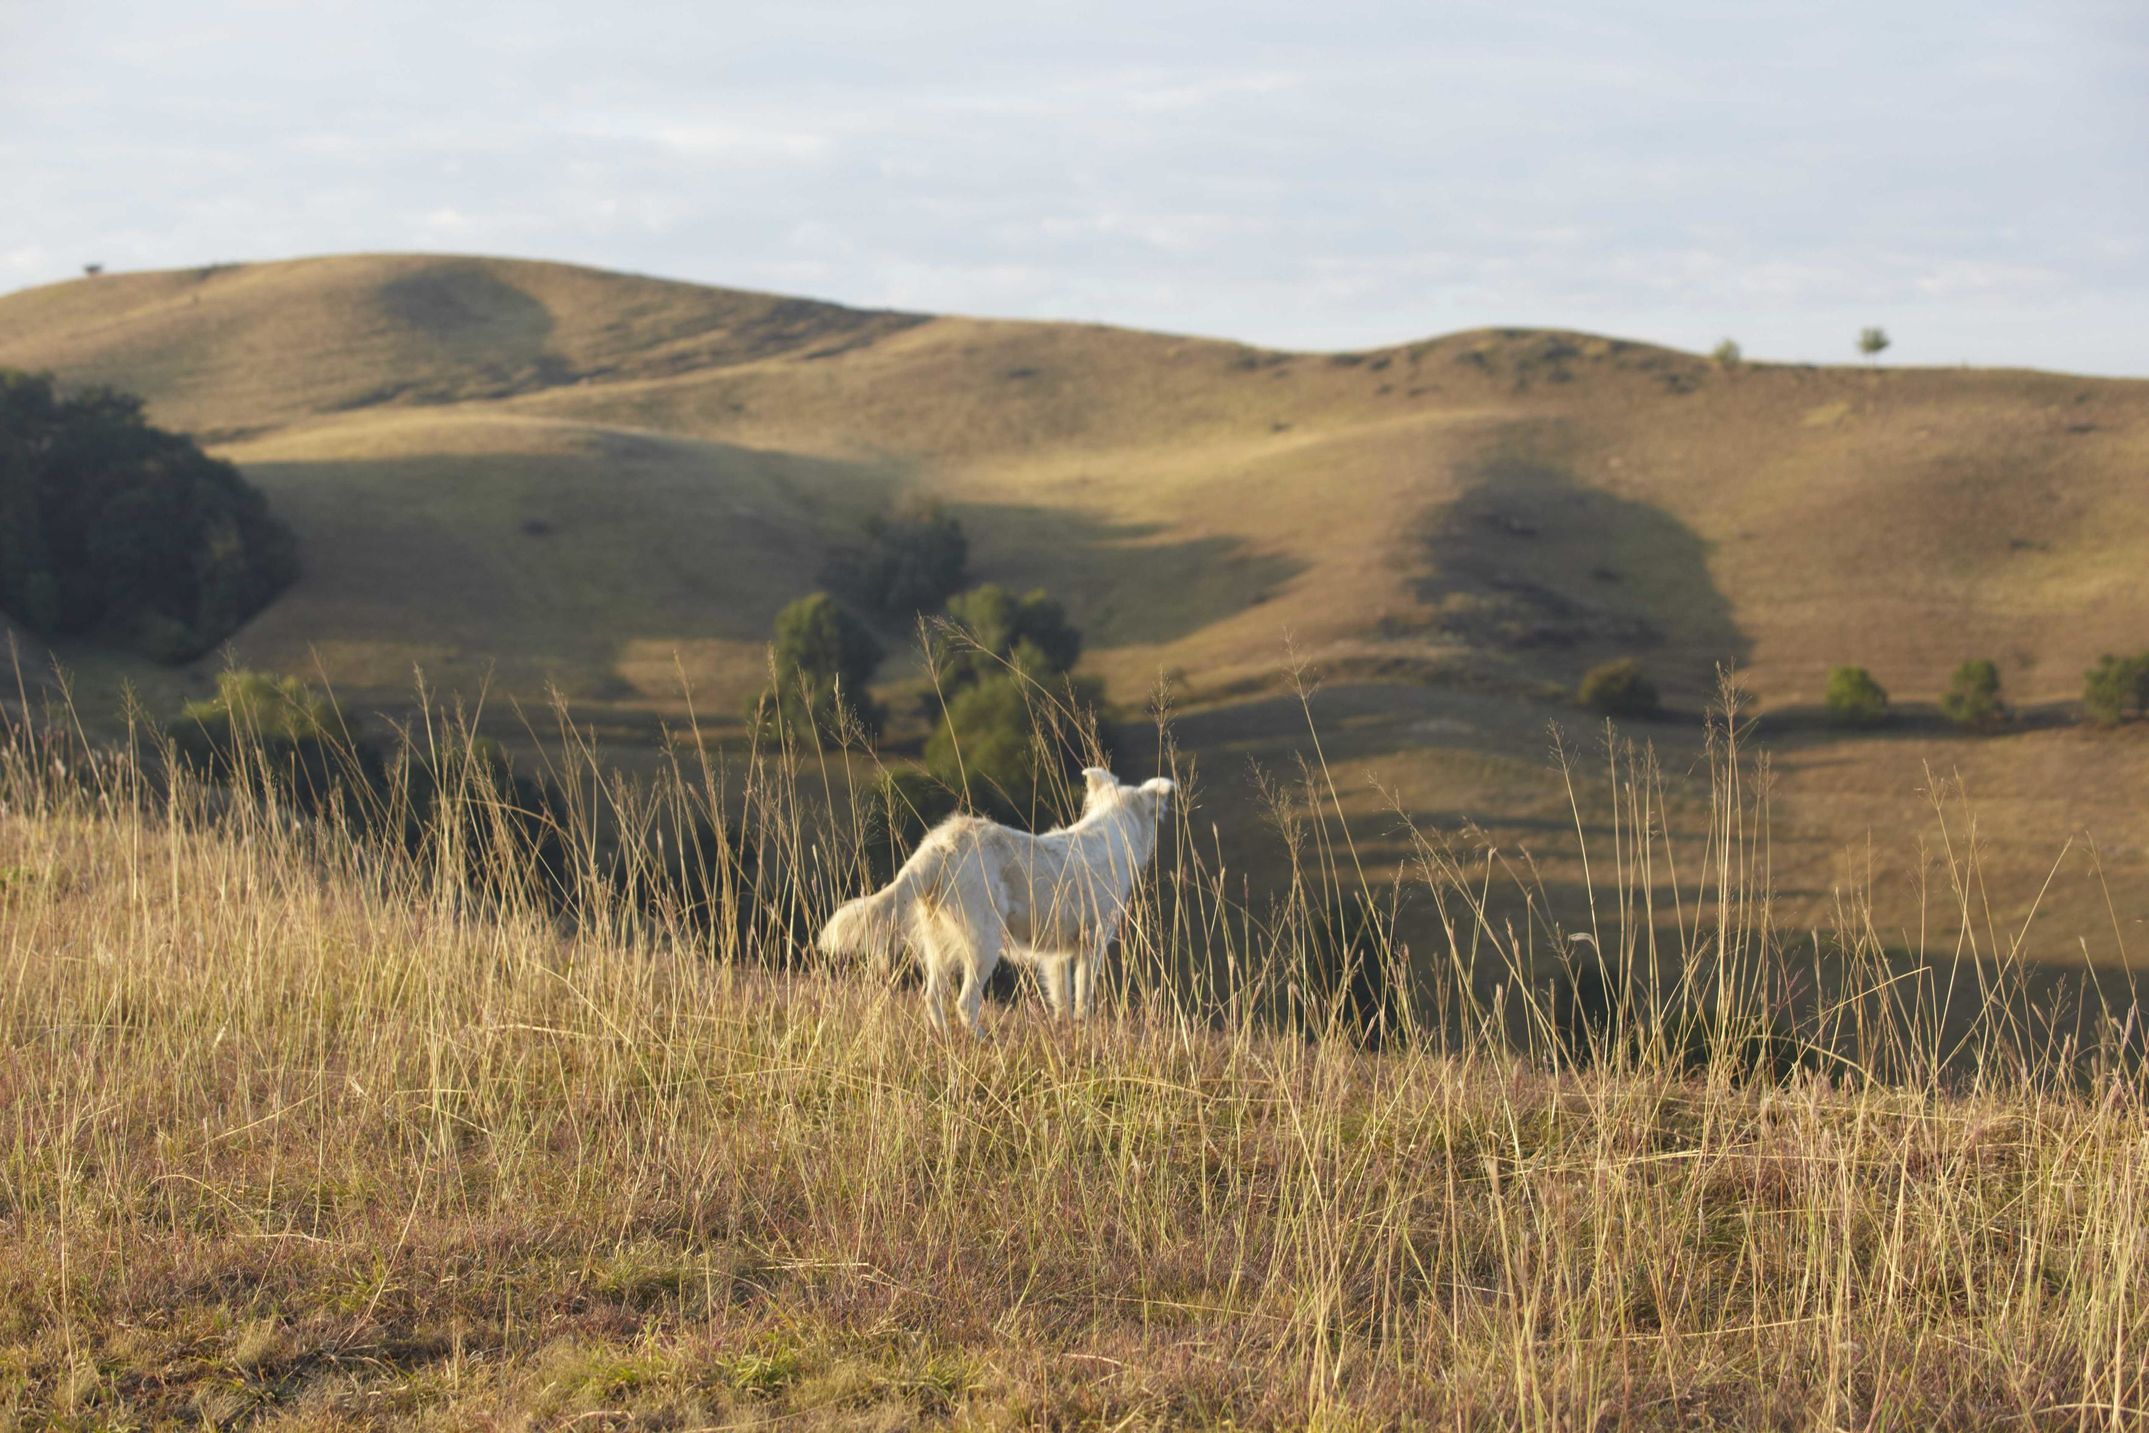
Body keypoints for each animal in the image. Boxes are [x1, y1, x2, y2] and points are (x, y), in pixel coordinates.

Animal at [816, 773, 1177, 1031]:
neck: (1111, 830)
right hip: (984, 943)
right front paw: (1084, 1032)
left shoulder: (1056, 954)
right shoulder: (1093, 942)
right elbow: (1083, 998)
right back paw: (979, 1040)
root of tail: (943, 843)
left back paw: (944, 1038)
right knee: (966, 1002)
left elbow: (1062, 998)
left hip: (938, 945)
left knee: (933, 998)